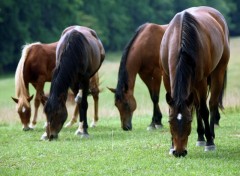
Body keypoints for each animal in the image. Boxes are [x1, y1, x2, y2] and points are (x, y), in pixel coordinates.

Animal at [160, 5, 230, 157]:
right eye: (170, 121)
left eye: (188, 122)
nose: (179, 152)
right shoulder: (167, 78)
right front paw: (171, 145)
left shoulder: (201, 81)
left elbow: (204, 110)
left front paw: (210, 142)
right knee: (196, 105)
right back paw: (200, 137)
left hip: (218, 72)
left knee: (212, 104)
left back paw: (210, 136)